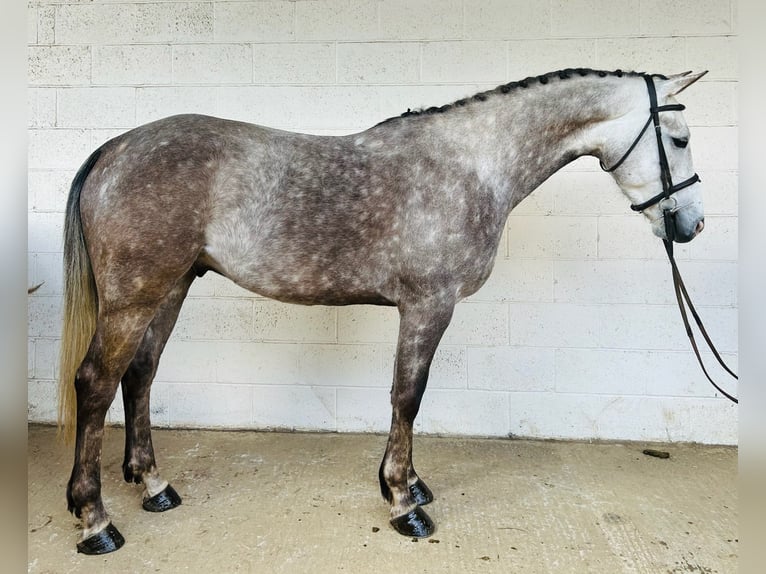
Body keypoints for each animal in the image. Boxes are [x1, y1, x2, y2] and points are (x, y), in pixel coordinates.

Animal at [57, 68, 707, 554]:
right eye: (678, 140)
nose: (691, 225)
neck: (473, 166)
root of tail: (115, 148)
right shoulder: (428, 305)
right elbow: (407, 396)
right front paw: (402, 502)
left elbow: (405, 398)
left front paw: (409, 487)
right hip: (134, 297)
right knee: (95, 383)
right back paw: (95, 521)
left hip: (169, 289)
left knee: (139, 375)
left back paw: (154, 485)